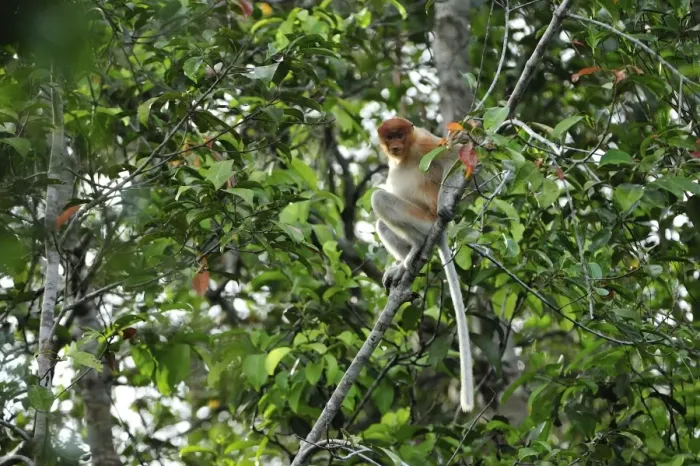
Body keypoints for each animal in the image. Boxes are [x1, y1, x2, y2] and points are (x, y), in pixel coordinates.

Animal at [371, 117, 474, 412]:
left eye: (400, 135)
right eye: (389, 137)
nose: (394, 145)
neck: (406, 154)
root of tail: (439, 235)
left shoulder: (425, 141)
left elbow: (456, 155)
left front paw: (444, 206)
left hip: (424, 221)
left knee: (379, 199)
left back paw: (417, 246)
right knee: (382, 222)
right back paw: (401, 267)